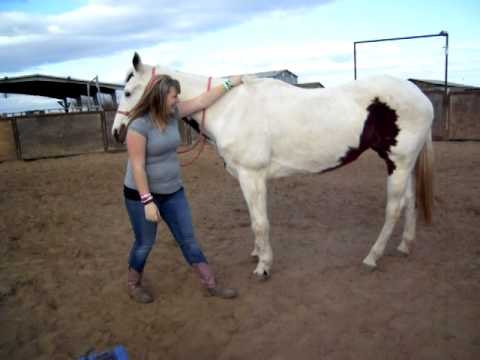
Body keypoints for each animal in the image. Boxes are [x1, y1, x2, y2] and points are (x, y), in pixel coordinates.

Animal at [112, 52, 436, 278]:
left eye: (127, 92)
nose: (117, 132)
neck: (229, 107)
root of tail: (421, 97)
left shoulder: (252, 176)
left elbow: (260, 222)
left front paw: (264, 266)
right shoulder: (247, 178)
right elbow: (255, 220)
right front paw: (258, 254)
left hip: (398, 163)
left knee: (394, 209)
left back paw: (372, 257)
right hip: (401, 164)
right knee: (409, 202)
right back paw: (404, 246)